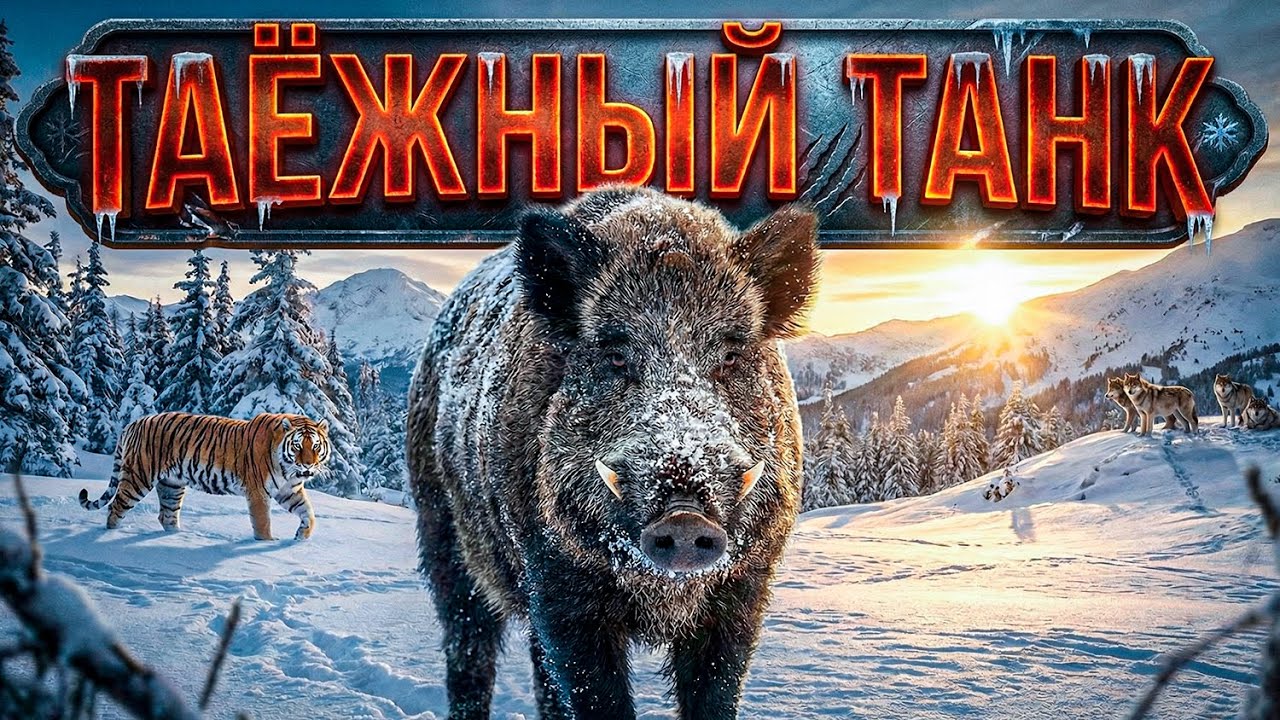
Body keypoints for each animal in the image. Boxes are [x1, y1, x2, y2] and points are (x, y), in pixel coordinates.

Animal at [79, 412, 330, 540]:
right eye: (297, 446)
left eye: (315, 446)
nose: (308, 465)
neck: (288, 470)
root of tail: (133, 423)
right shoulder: (258, 491)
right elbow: (262, 521)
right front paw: (267, 543)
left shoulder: (289, 490)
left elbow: (308, 512)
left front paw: (301, 535)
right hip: (139, 477)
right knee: (116, 508)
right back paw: (110, 536)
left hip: (172, 485)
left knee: (166, 516)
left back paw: (177, 537)